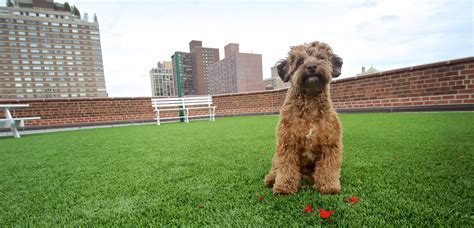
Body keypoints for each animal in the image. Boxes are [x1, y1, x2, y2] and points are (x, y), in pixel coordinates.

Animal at [264, 40, 342, 194]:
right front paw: (284, 187)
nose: (311, 66)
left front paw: (329, 186)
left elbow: (328, 167)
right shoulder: (288, 143)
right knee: (275, 169)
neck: (310, 99)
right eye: (300, 62)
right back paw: (270, 180)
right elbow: (286, 167)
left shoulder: (330, 143)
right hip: (276, 157)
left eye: (321, 58)